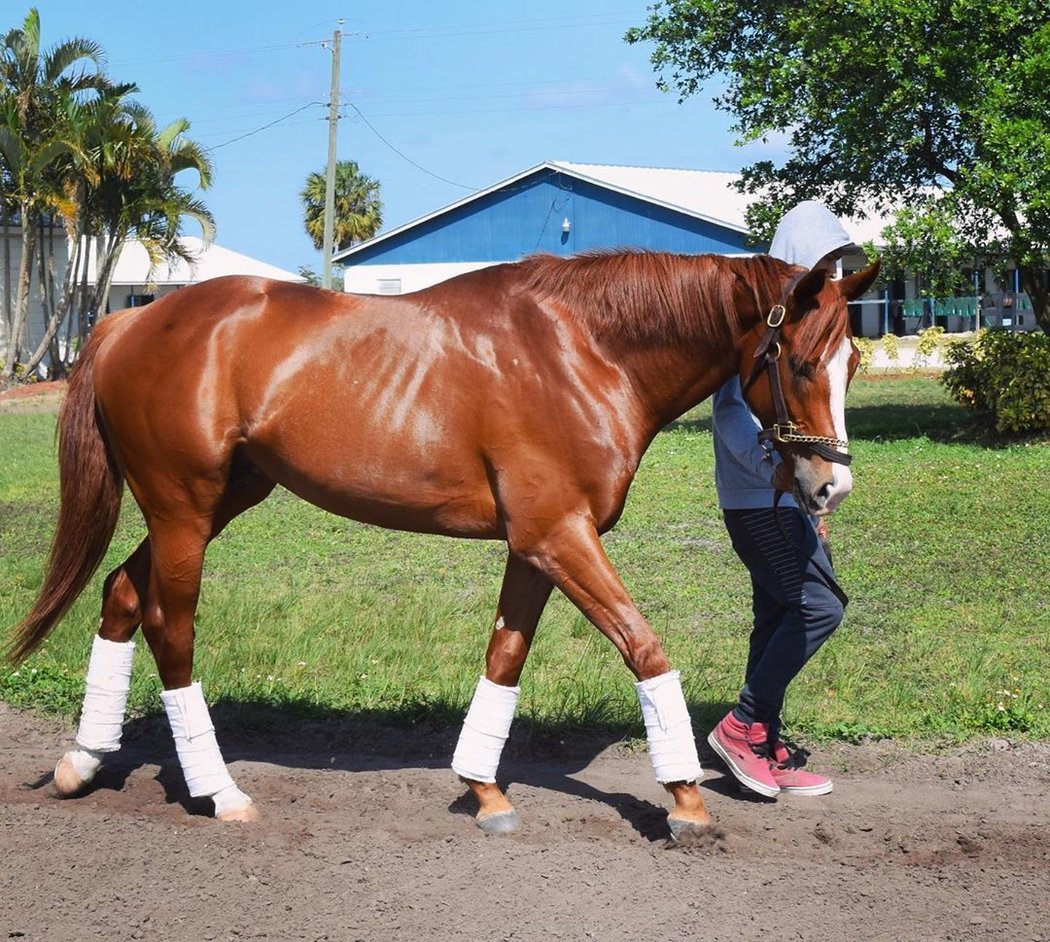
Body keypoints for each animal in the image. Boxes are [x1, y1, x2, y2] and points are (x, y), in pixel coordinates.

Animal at [6, 249, 877, 840]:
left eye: (854, 360)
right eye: (801, 361)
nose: (831, 487)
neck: (584, 351)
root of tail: (130, 319)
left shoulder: (536, 545)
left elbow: (504, 657)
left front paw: (485, 791)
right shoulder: (561, 536)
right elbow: (645, 647)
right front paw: (688, 802)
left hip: (216, 501)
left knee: (121, 593)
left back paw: (84, 761)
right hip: (183, 510)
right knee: (172, 629)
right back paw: (220, 792)